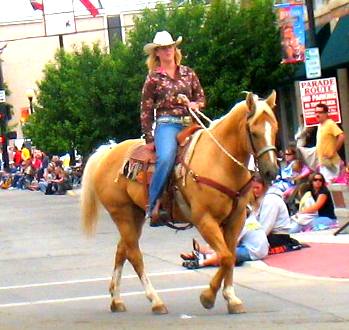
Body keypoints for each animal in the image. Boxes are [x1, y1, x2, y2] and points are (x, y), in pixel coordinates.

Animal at [81, 90, 278, 314]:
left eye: (276, 129)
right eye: (254, 132)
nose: (271, 171)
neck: (220, 161)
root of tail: (107, 153)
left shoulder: (235, 220)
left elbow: (230, 257)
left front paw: (231, 298)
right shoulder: (205, 220)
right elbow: (226, 256)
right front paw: (208, 297)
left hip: (135, 215)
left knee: (122, 251)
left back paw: (116, 300)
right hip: (122, 214)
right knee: (135, 255)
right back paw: (156, 300)